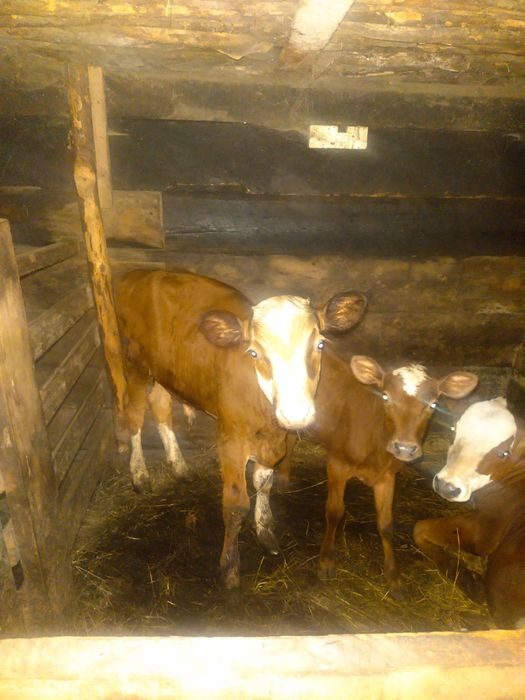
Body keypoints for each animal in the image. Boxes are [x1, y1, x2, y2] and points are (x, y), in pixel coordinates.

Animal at [116, 269, 367, 588]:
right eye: (254, 353)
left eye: (320, 344)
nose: (296, 412)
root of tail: (137, 273)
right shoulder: (231, 441)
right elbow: (236, 506)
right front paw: (230, 567)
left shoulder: (275, 440)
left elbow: (264, 482)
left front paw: (265, 530)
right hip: (134, 362)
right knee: (134, 413)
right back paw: (139, 473)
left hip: (165, 372)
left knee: (160, 404)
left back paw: (178, 464)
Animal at [277, 348, 478, 594]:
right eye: (386, 397)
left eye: (432, 404)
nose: (405, 448)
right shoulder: (337, 465)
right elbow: (334, 512)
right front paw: (325, 562)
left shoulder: (388, 476)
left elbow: (386, 524)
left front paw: (393, 577)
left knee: (290, 438)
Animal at [414, 397, 525, 628]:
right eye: (454, 431)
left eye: (504, 453)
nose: (446, 486)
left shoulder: (485, 531)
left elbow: (419, 528)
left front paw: (467, 580)